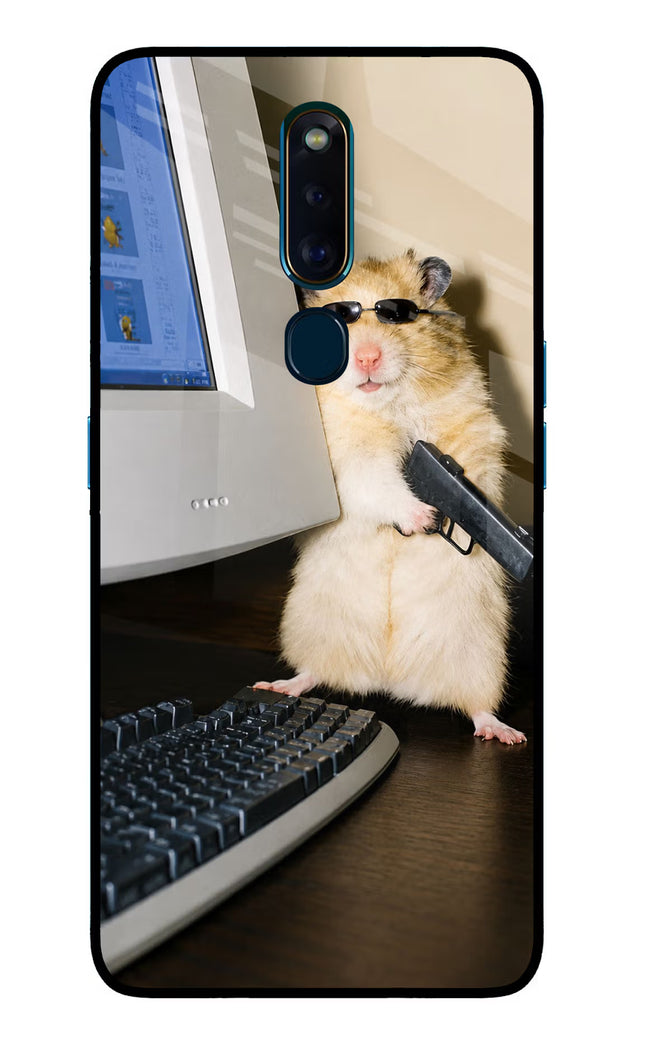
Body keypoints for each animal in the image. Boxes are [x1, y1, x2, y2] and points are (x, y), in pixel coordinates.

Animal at [256, 250, 526, 744]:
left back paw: (504, 733)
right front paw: (423, 518)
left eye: (396, 315)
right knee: (313, 672)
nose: (366, 358)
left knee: (477, 706)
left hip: (480, 654)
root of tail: (388, 679)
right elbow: (378, 483)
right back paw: (278, 685)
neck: (387, 404)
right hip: (311, 626)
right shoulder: (348, 459)